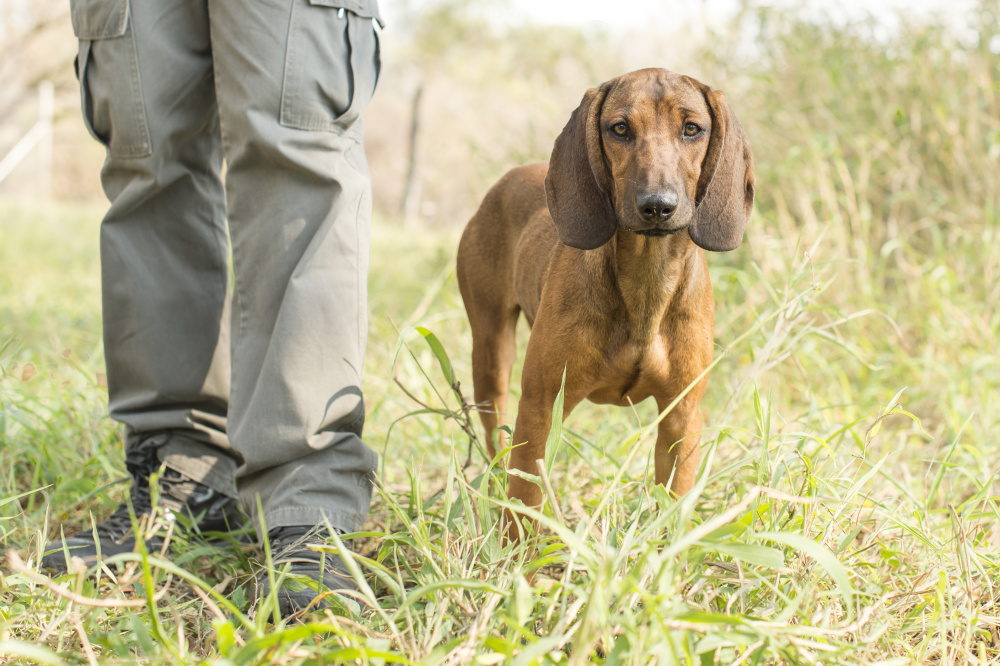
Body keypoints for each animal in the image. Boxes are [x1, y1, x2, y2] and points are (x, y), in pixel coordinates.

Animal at [458, 68, 752, 536]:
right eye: (620, 129)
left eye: (692, 129)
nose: (657, 206)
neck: (646, 286)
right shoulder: (540, 405)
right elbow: (524, 502)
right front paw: (513, 553)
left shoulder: (682, 416)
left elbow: (672, 504)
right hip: (490, 354)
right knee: (495, 438)